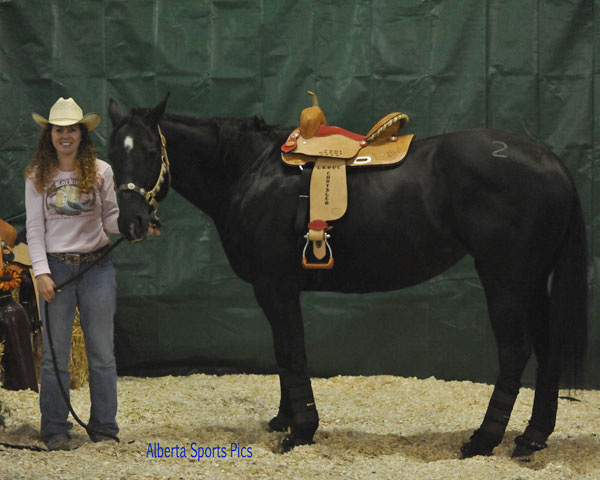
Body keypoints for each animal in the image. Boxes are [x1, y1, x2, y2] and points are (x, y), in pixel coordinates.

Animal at [108, 96, 584, 458]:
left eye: (150, 152)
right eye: (112, 154)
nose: (131, 223)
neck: (253, 171)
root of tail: (551, 161)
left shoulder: (274, 285)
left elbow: (291, 351)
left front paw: (301, 430)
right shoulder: (280, 290)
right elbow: (284, 353)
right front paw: (285, 419)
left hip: (505, 279)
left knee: (516, 352)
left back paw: (484, 440)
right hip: (531, 281)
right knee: (548, 350)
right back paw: (531, 438)